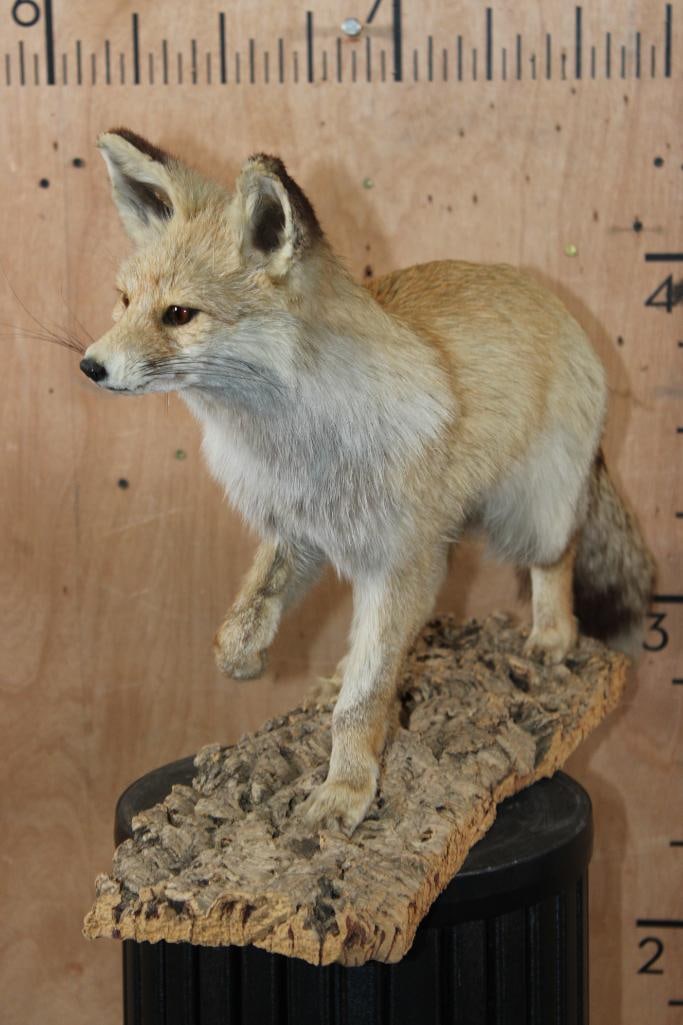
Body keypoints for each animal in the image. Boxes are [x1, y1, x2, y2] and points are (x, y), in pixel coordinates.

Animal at [80, 128, 655, 834]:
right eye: (124, 301)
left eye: (179, 314)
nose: (89, 365)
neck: (294, 443)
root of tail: (550, 298)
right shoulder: (299, 531)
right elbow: (242, 622)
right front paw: (247, 662)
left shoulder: (400, 561)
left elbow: (362, 703)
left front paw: (346, 792)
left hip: (534, 511)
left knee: (558, 558)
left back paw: (552, 635)